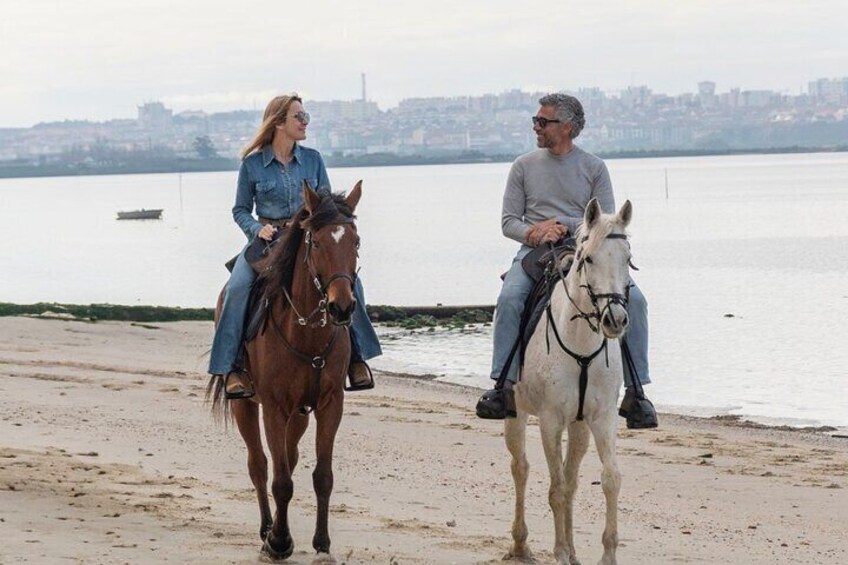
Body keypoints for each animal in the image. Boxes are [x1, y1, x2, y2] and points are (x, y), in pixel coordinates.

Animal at [210, 183, 364, 560]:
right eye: (317, 242)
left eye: (355, 241)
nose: (342, 307)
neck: (306, 332)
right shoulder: (274, 408)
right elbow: (279, 479)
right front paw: (278, 542)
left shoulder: (329, 405)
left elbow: (322, 476)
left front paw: (322, 544)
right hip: (246, 405)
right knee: (259, 465)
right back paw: (267, 529)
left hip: (300, 413)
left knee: (290, 458)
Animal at [504, 197, 628, 564]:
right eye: (589, 259)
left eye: (628, 258)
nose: (615, 320)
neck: (581, 344)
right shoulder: (550, 420)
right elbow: (556, 488)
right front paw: (558, 552)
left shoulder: (601, 418)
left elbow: (609, 479)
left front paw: (606, 555)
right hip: (515, 413)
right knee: (521, 468)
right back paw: (521, 544)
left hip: (580, 427)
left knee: (572, 480)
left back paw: (573, 551)